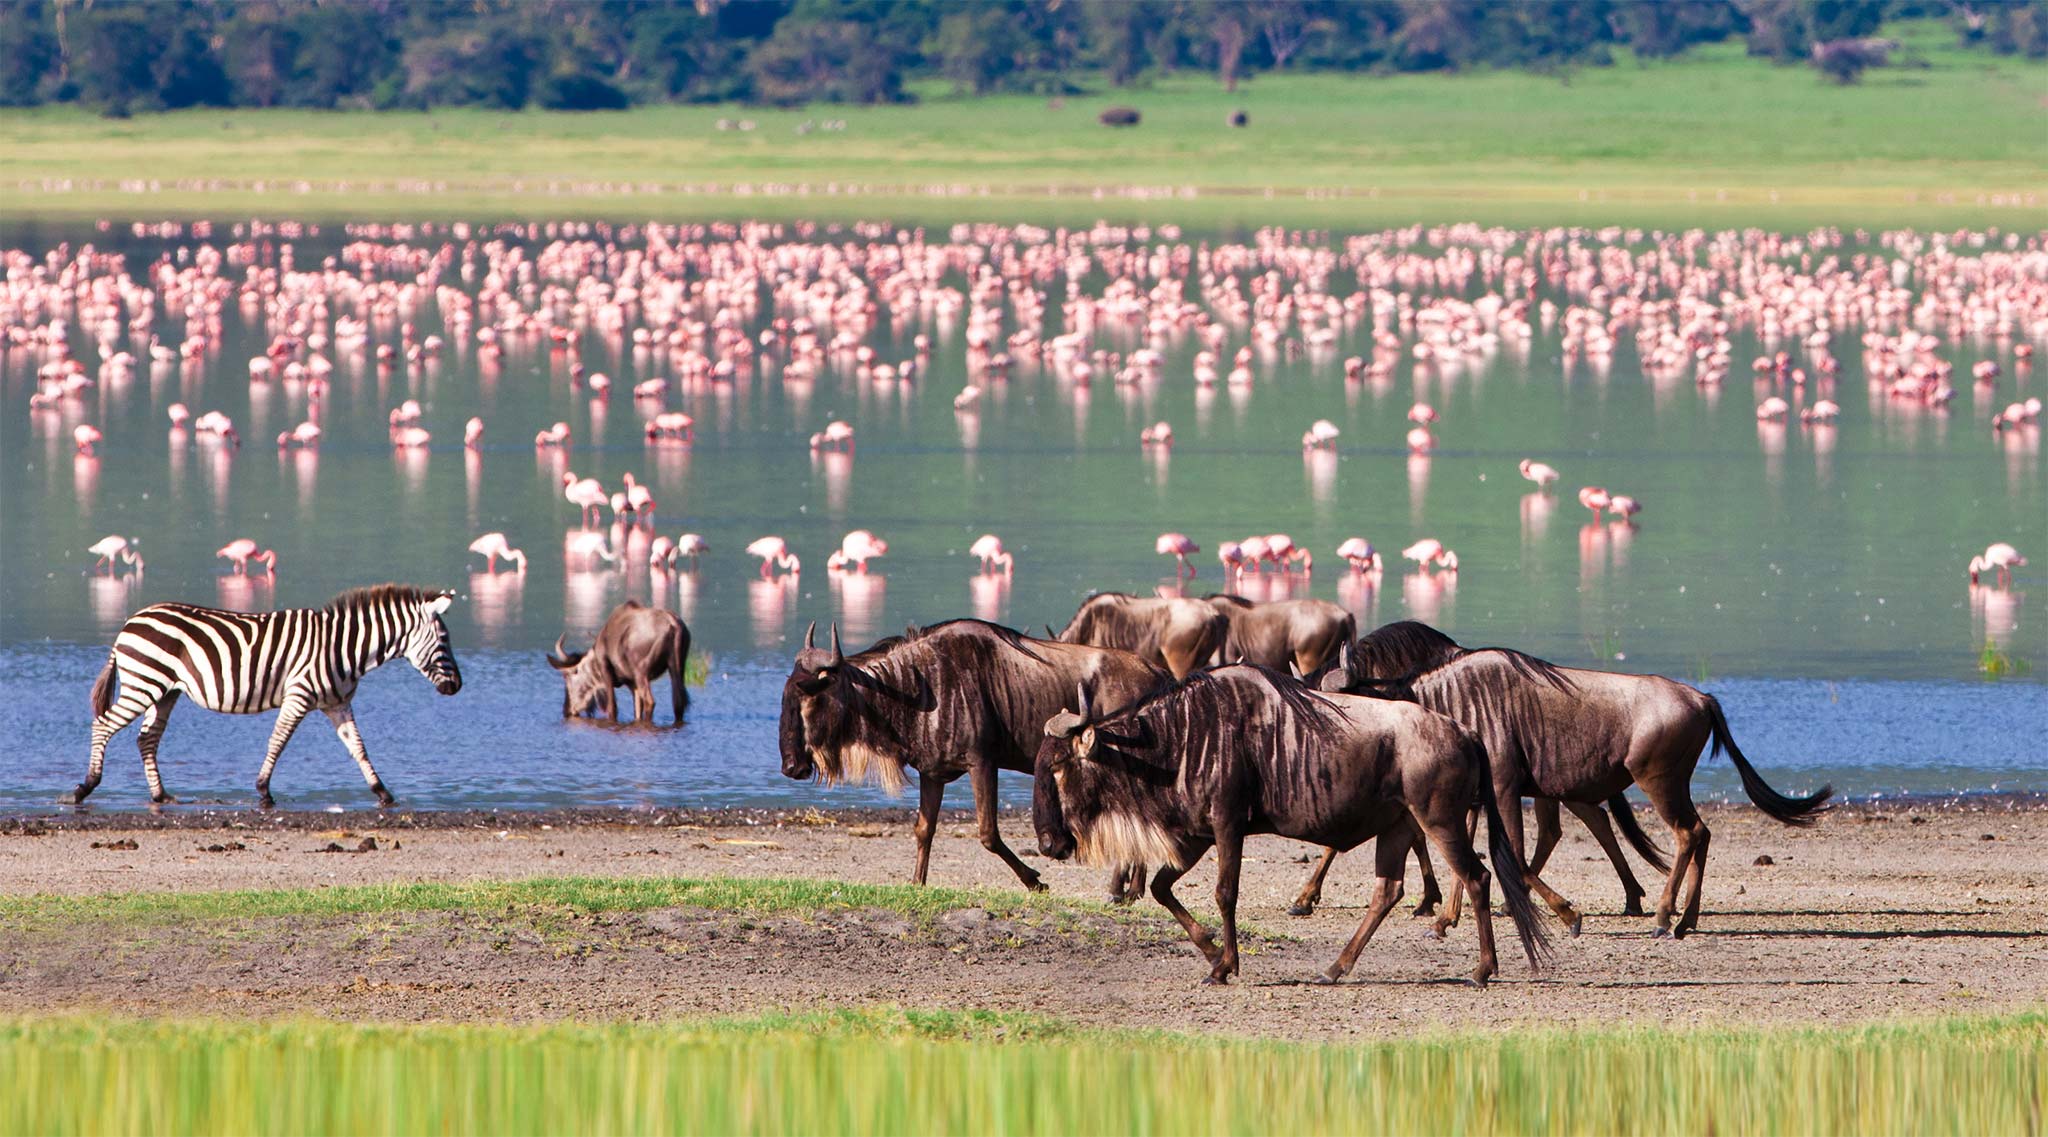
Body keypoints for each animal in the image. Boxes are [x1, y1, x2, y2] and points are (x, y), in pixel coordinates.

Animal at [77, 585, 462, 811]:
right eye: (444, 641)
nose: (457, 687)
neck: (343, 648)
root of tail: (131, 621)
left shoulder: (337, 702)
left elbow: (358, 747)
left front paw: (382, 792)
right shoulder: (299, 695)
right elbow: (278, 740)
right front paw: (263, 791)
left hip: (165, 691)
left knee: (147, 739)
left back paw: (160, 795)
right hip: (143, 684)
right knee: (103, 725)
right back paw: (86, 786)